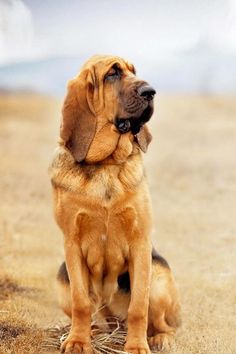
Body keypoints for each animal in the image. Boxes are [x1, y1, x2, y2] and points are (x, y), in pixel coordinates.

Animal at [48, 55, 180, 354]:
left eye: (134, 71)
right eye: (112, 74)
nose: (151, 92)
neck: (106, 164)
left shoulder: (140, 243)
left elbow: (138, 307)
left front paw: (136, 346)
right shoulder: (71, 243)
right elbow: (82, 303)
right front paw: (78, 341)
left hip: (158, 272)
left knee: (161, 323)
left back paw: (160, 338)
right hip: (62, 280)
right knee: (92, 314)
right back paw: (94, 332)